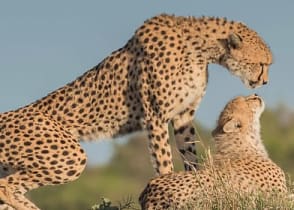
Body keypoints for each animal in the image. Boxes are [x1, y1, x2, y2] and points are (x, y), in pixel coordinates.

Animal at [0, 13, 272, 209]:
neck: (198, 46)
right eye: (262, 64)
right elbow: (165, 161)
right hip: (69, 156)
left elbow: (190, 157)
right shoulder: (156, 116)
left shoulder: (183, 116)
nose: (265, 82)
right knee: (5, 187)